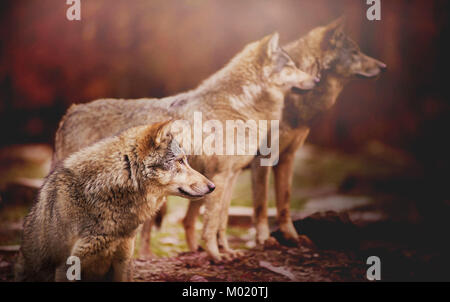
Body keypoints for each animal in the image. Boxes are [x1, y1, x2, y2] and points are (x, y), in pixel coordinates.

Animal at [51, 32, 318, 260]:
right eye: (291, 66)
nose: (316, 79)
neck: (240, 107)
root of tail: (71, 112)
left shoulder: (230, 177)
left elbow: (221, 221)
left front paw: (227, 252)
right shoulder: (221, 176)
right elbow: (211, 223)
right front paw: (216, 256)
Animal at [250, 18, 386, 245]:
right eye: (355, 52)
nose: (384, 67)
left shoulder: (287, 158)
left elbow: (284, 201)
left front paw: (292, 237)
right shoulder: (263, 160)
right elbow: (261, 205)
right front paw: (265, 239)